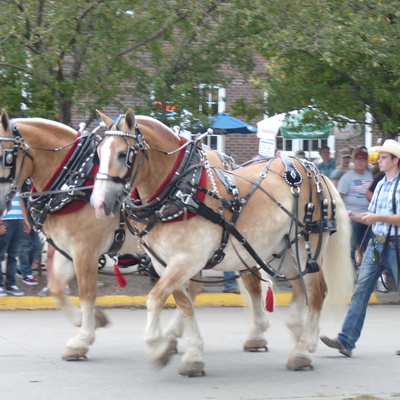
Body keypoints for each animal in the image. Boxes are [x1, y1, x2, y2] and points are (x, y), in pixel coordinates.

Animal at [90, 109, 354, 376]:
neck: (180, 191)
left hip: (308, 243)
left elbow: (155, 299)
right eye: (98, 152)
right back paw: (297, 333)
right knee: (299, 288)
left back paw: (302, 350)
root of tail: (314, 170)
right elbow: (184, 304)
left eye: (122, 154)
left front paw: (157, 346)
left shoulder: (187, 260)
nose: (99, 204)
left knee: (317, 292)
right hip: (283, 249)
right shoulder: (163, 264)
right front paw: (191, 355)